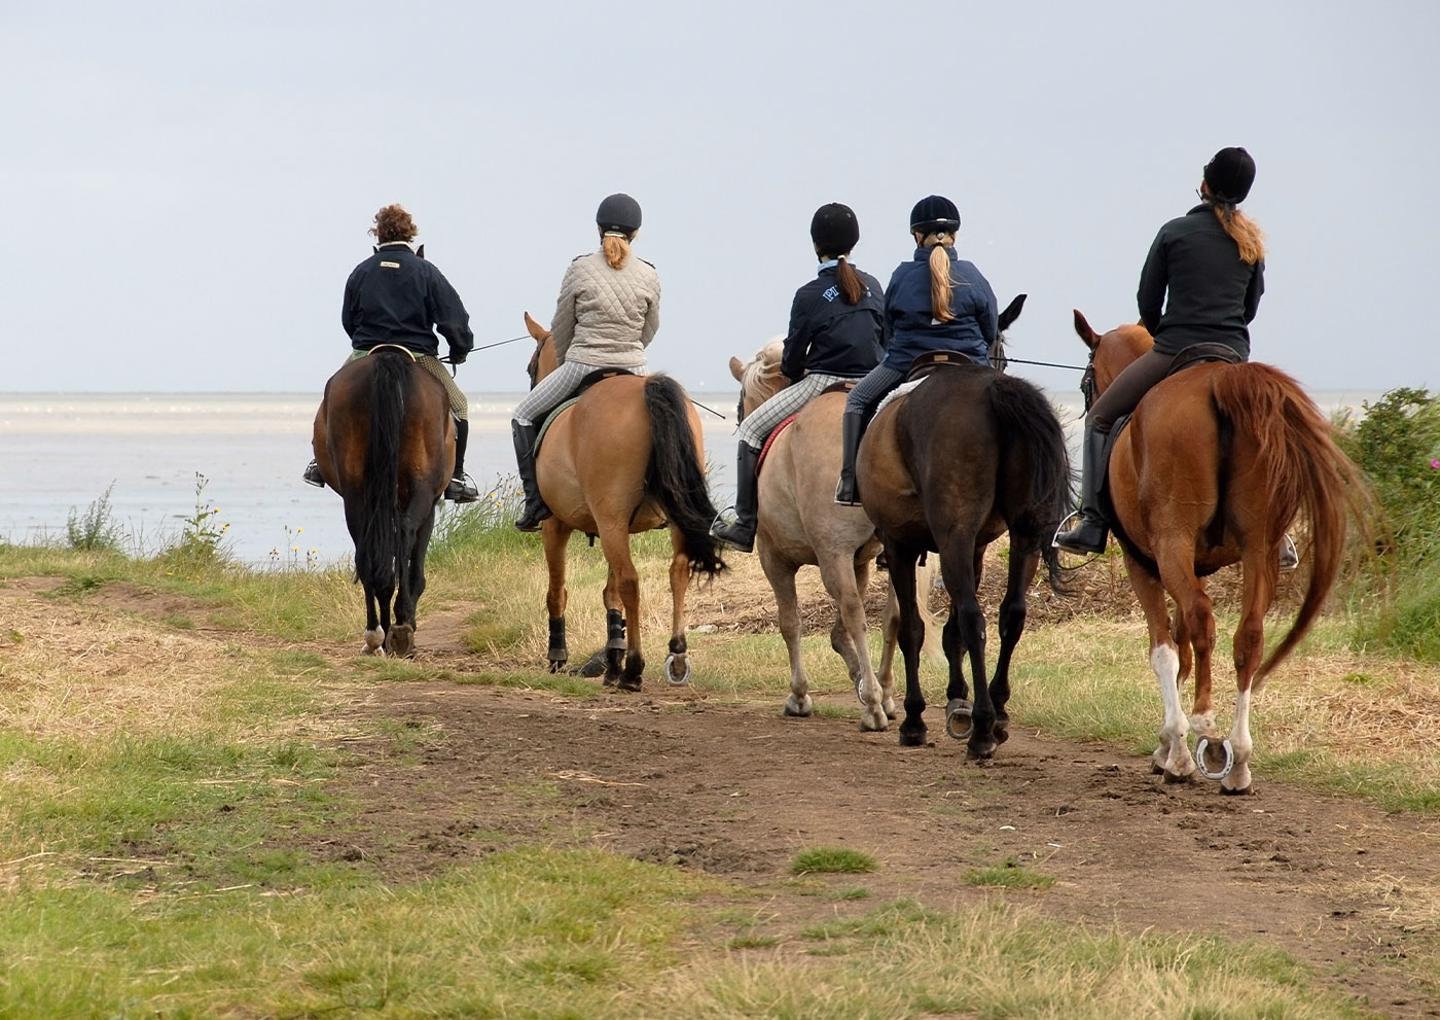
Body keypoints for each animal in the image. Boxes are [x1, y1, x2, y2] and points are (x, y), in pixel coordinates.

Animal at [312, 347, 452, 656]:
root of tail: (388, 359)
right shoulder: (430, 506)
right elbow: (416, 568)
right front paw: (407, 619)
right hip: (420, 489)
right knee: (406, 534)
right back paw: (397, 630)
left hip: (357, 494)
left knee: (369, 557)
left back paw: (378, 633)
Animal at [521, 312, 731, 694]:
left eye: (531, 366)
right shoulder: (609, 529)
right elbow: (610, 593)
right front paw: (611, 661)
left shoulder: (555, 525)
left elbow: (557, 591)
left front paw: (559, 655)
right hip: (655, 520)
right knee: (677, 572)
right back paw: (676, 655)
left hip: (608, 521)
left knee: (631, 581)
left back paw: (634, 668)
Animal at [725, 347, 938, 728]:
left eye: (740, 403)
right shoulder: (860, 562)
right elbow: (840, 632)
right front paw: (862, 683)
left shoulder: (775, 558)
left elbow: (791, 623)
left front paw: (800, 695)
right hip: (896, 553)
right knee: (895, 615)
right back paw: (884, 693)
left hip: (829, 554)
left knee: (855, 613)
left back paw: (873, 706)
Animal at [852, 357, 1071, 754]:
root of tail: (991, 390)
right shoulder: (976, 548)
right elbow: (951, 632)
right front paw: (957, 700)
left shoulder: (899, 544)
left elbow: (912, 629)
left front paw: (914, 719)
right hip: (1022, 535)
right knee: (1012, 614)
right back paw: (998, 712)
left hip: (951, 536)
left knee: (974, 618)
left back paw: (982, 728)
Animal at [1077, 312, 1365, 795]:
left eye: (1086, 381)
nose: (1090, 397)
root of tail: (1221, 380)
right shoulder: (1192, 564)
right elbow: (1183, 647)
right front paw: (1170, 746)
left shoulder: (1145, 564)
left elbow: (1166, 650)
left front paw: (1172, 750)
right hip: (1259, 548)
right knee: (1248, 636)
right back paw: (1238, 760)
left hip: (1173, 542)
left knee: (1202, 620)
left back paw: (1205, 732)